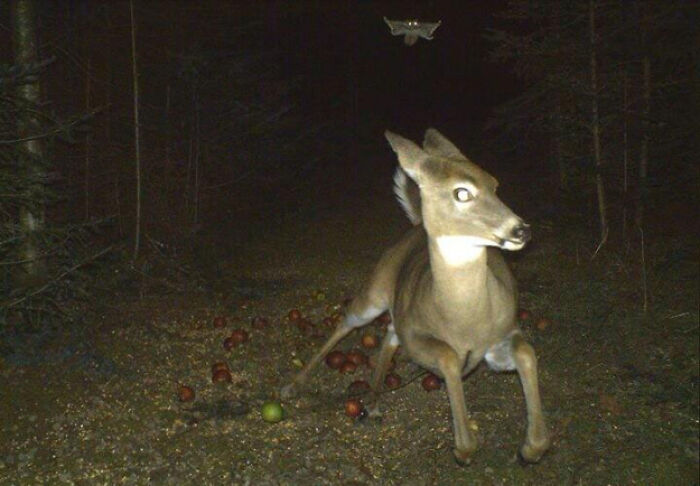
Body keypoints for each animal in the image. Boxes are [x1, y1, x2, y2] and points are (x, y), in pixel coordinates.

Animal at [281, 128, 550, 465]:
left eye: (495, 184)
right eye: (462, 193)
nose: (521, 230)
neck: (464, 320)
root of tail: (416, 225)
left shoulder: (502, 333)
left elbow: (526, 353)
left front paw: (531, 448)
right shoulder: (416, 338)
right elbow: (448, 357)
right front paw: (463, 448)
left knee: (388, 333)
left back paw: (374, 401)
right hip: (375, 290)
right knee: (347, 323)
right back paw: (293, 386)